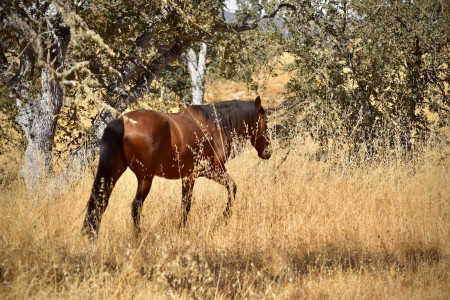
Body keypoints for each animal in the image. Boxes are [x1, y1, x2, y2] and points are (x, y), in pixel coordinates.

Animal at [81, 96, 270, 237]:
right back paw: (137, 236)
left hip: (115, 170)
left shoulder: (187, 177)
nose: (267, 152)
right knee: (136, 206)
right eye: (265, 121)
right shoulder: (211, 171)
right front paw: (224, 217)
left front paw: (182, 228)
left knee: (100, 201)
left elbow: (185, 204)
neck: (215, 125)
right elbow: (231, 188)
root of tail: (122, 121)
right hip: (145, 178)